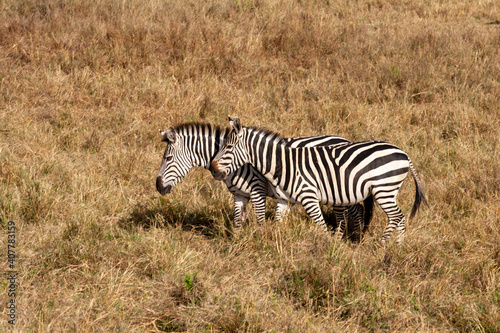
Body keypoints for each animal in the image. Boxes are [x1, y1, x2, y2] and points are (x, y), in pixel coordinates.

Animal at [155, 120, 372, 235]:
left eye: (168, 158)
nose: (158, 187)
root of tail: (345, 139)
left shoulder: (257, 189)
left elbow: (259, 219)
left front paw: (259, 240)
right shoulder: (240, 195)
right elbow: (237, 221)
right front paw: (237, 243)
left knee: (357, 209)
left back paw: (356, 237)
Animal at [211, 116, 426, 244]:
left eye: (228, 147)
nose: (214, 169)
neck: (284, 164)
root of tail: (404, 153)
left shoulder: (308, 197)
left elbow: (321, 226)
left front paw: (328, 252)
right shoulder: (286, 198)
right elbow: (278, 222)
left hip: (384, 188)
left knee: (396, 216)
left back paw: (384, 246)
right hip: (383, 190)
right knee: (399, 217)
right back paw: (397, 246)